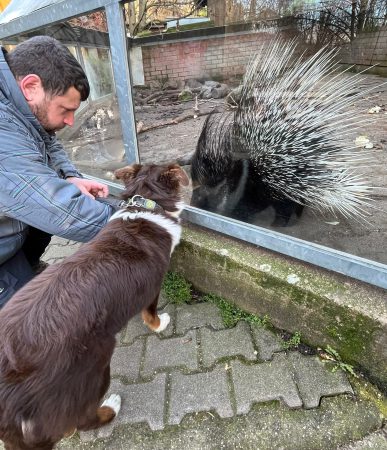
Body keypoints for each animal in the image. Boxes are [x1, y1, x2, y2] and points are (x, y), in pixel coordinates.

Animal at [0, 163, 189, 448]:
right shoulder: (153, 285)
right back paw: (111, 407)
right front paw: (160, 324)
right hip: (92, 369)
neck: (145, 206)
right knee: (81, 417)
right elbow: (150, 313)